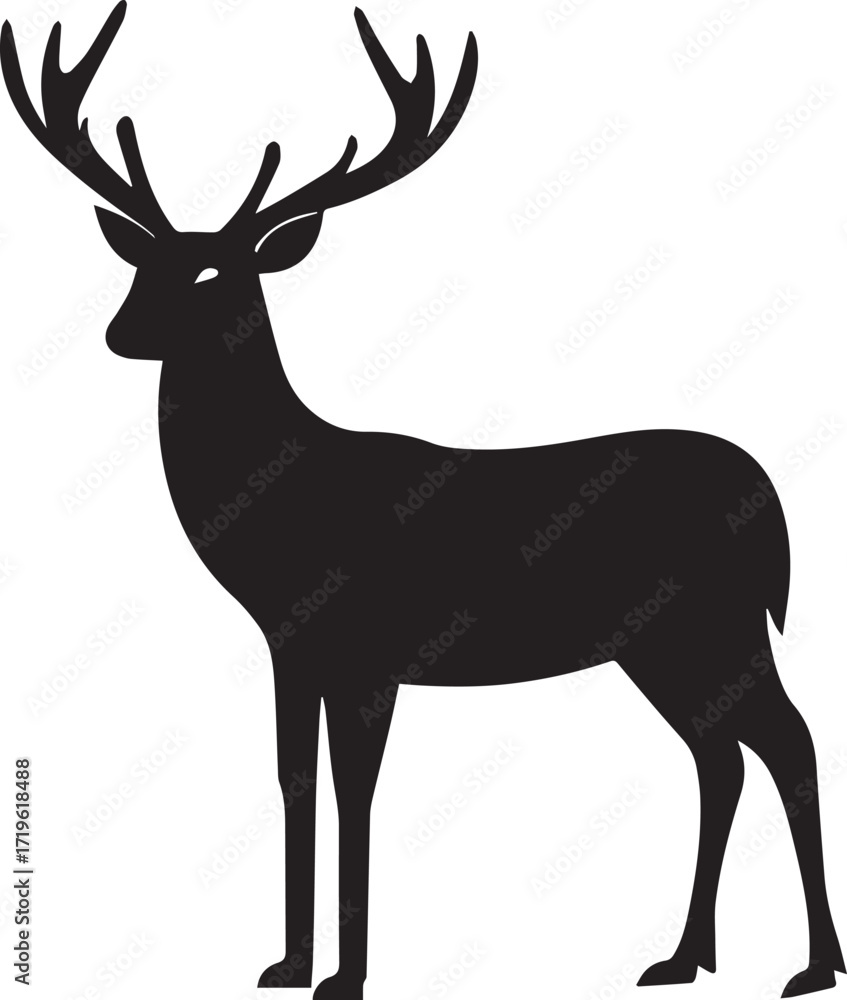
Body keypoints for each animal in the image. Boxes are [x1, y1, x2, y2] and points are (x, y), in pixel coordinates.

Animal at [2, 4, 843, 997]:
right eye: (144, 265)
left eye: (215, 275)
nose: (120, 331)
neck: (280, 504)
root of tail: (772, 503)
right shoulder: (292, 646)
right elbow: (292, 780)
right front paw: (287, 964)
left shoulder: (369, 647)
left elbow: (356, 790)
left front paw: (348, 975)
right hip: (661, 642)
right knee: (719, 754)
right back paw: (682, 956)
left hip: (716, 620)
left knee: (787, 739)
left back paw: (812, 964)